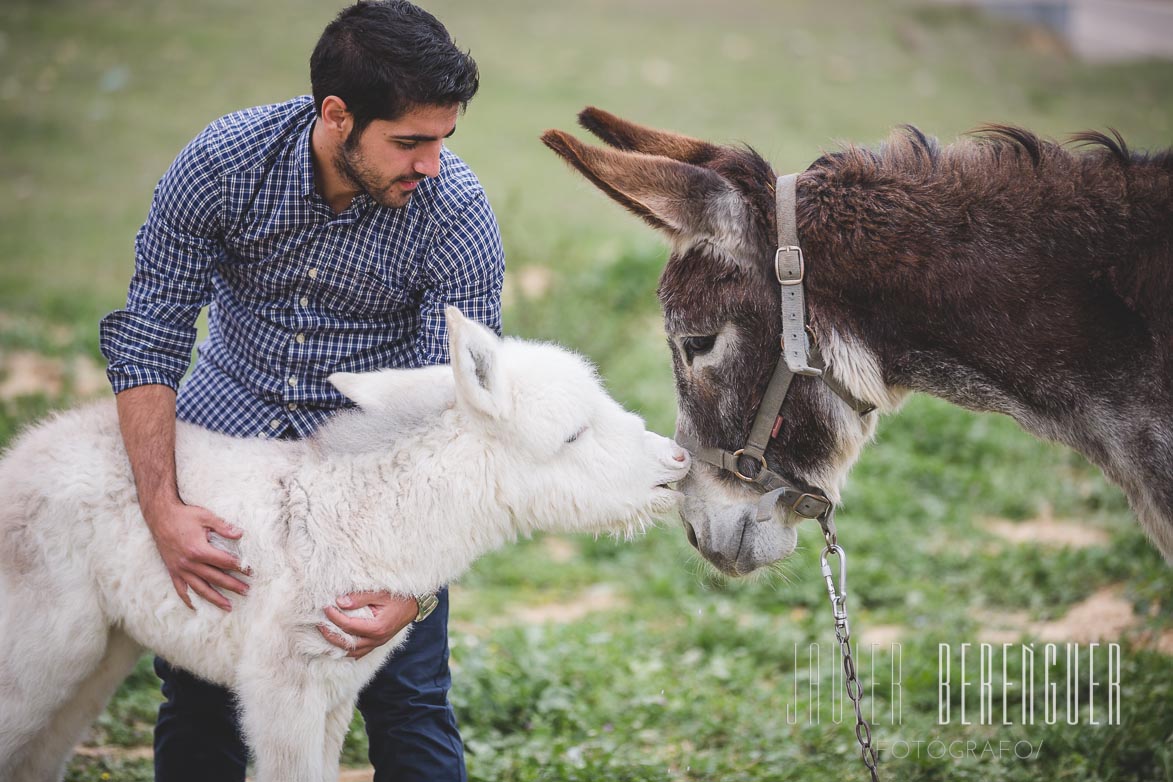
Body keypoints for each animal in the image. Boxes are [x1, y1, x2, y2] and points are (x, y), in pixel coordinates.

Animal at [0, 309, 685, 782]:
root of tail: (24, 454)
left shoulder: (335, 692)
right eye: (573, 435)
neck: (353, 525)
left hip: (101, 656)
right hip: (45, 653)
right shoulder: (281, 691)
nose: (677, 461)